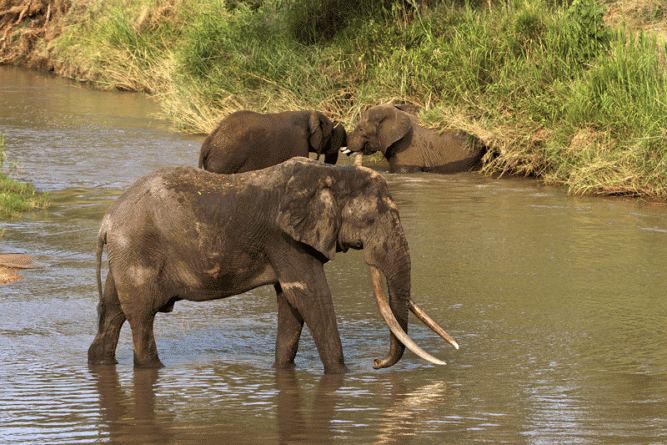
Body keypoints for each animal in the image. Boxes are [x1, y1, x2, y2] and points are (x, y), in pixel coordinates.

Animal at [88, 156, 460, 372]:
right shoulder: (285, 239)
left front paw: (282, 371)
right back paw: (153, 367)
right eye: (372, 220)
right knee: (141, 316)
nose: (376, 362)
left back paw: (100, 360)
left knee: (114, 310)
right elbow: (312, 297)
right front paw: (341, 375)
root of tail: (107, 221)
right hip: (136, 251)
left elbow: (290, 303)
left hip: (125, 256)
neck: (331, 172)